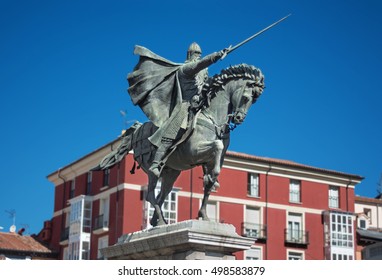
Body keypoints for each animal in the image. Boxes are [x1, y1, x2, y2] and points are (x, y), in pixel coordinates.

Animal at [96, 64, 262, 228]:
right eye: (246, 98)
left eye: (253, 101)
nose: (239, 118)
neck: (212, 118)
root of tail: (136, 131)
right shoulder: (194, 151)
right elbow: (217, 146)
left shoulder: (213, 159)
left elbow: (209, 182)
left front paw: (204, 213)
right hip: (151, 169)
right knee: (150, 194)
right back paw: (160, 220)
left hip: (171, 172)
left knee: (162, 194)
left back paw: (157, 221)